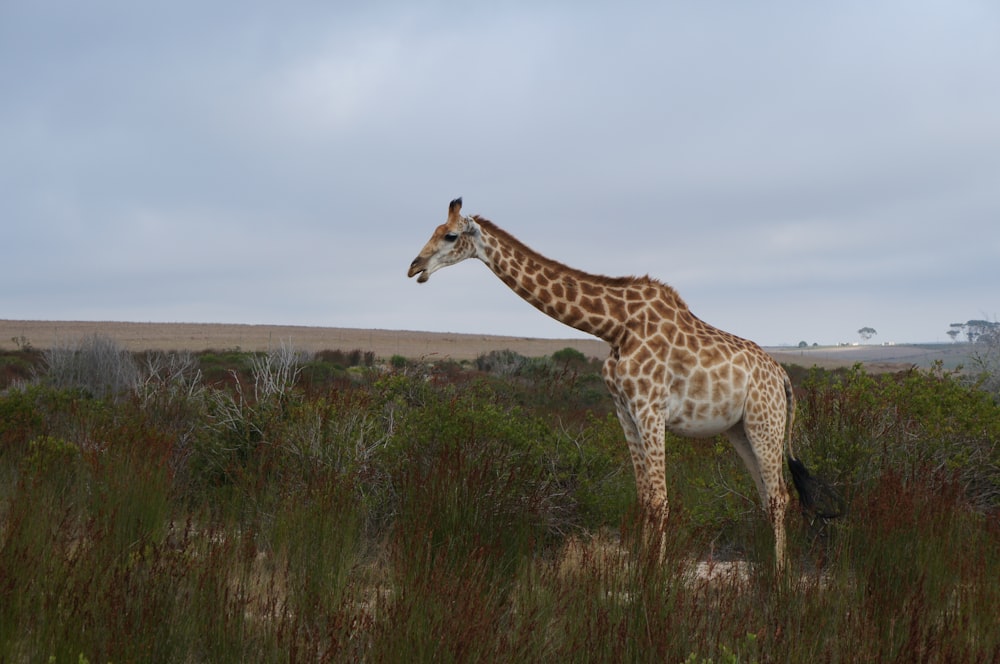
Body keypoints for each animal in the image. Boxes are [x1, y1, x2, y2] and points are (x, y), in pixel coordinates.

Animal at [406, 197, 836, 572]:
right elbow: (644, 498)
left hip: (766, 422)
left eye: (449, 236)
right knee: (766, 494)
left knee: (779, 496)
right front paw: (641, 571)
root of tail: (783, 376)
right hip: (740, 429)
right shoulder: (624, 411)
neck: (613, 326)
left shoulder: (650, 408)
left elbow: (660, 499)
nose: (414, 267)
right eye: (434, 230)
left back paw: (780, 577)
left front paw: (656, 582)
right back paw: (768, 570)